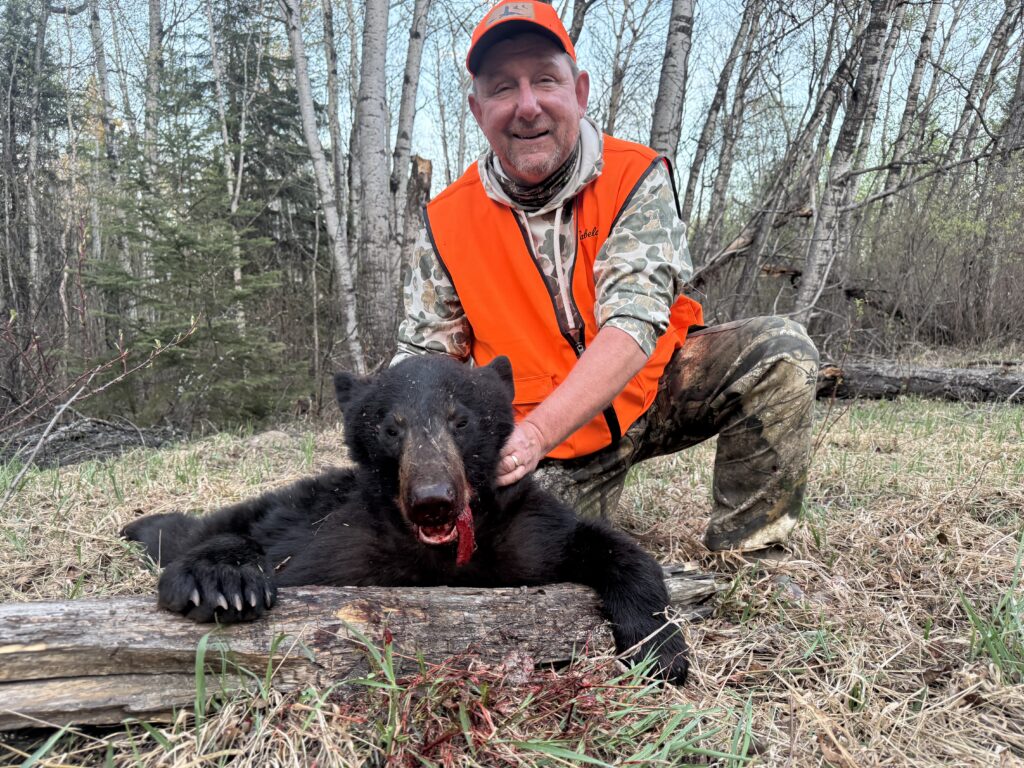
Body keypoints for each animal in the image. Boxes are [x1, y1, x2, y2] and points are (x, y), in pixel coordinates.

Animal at [122, 354, 688, 683]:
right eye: (391, 428)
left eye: (460, 420)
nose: (432, 499)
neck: (439, 553)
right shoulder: (341, 544)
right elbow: (285, 556)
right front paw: (224, 580)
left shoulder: (525, 532)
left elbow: (609, 548)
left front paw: (661, 651)